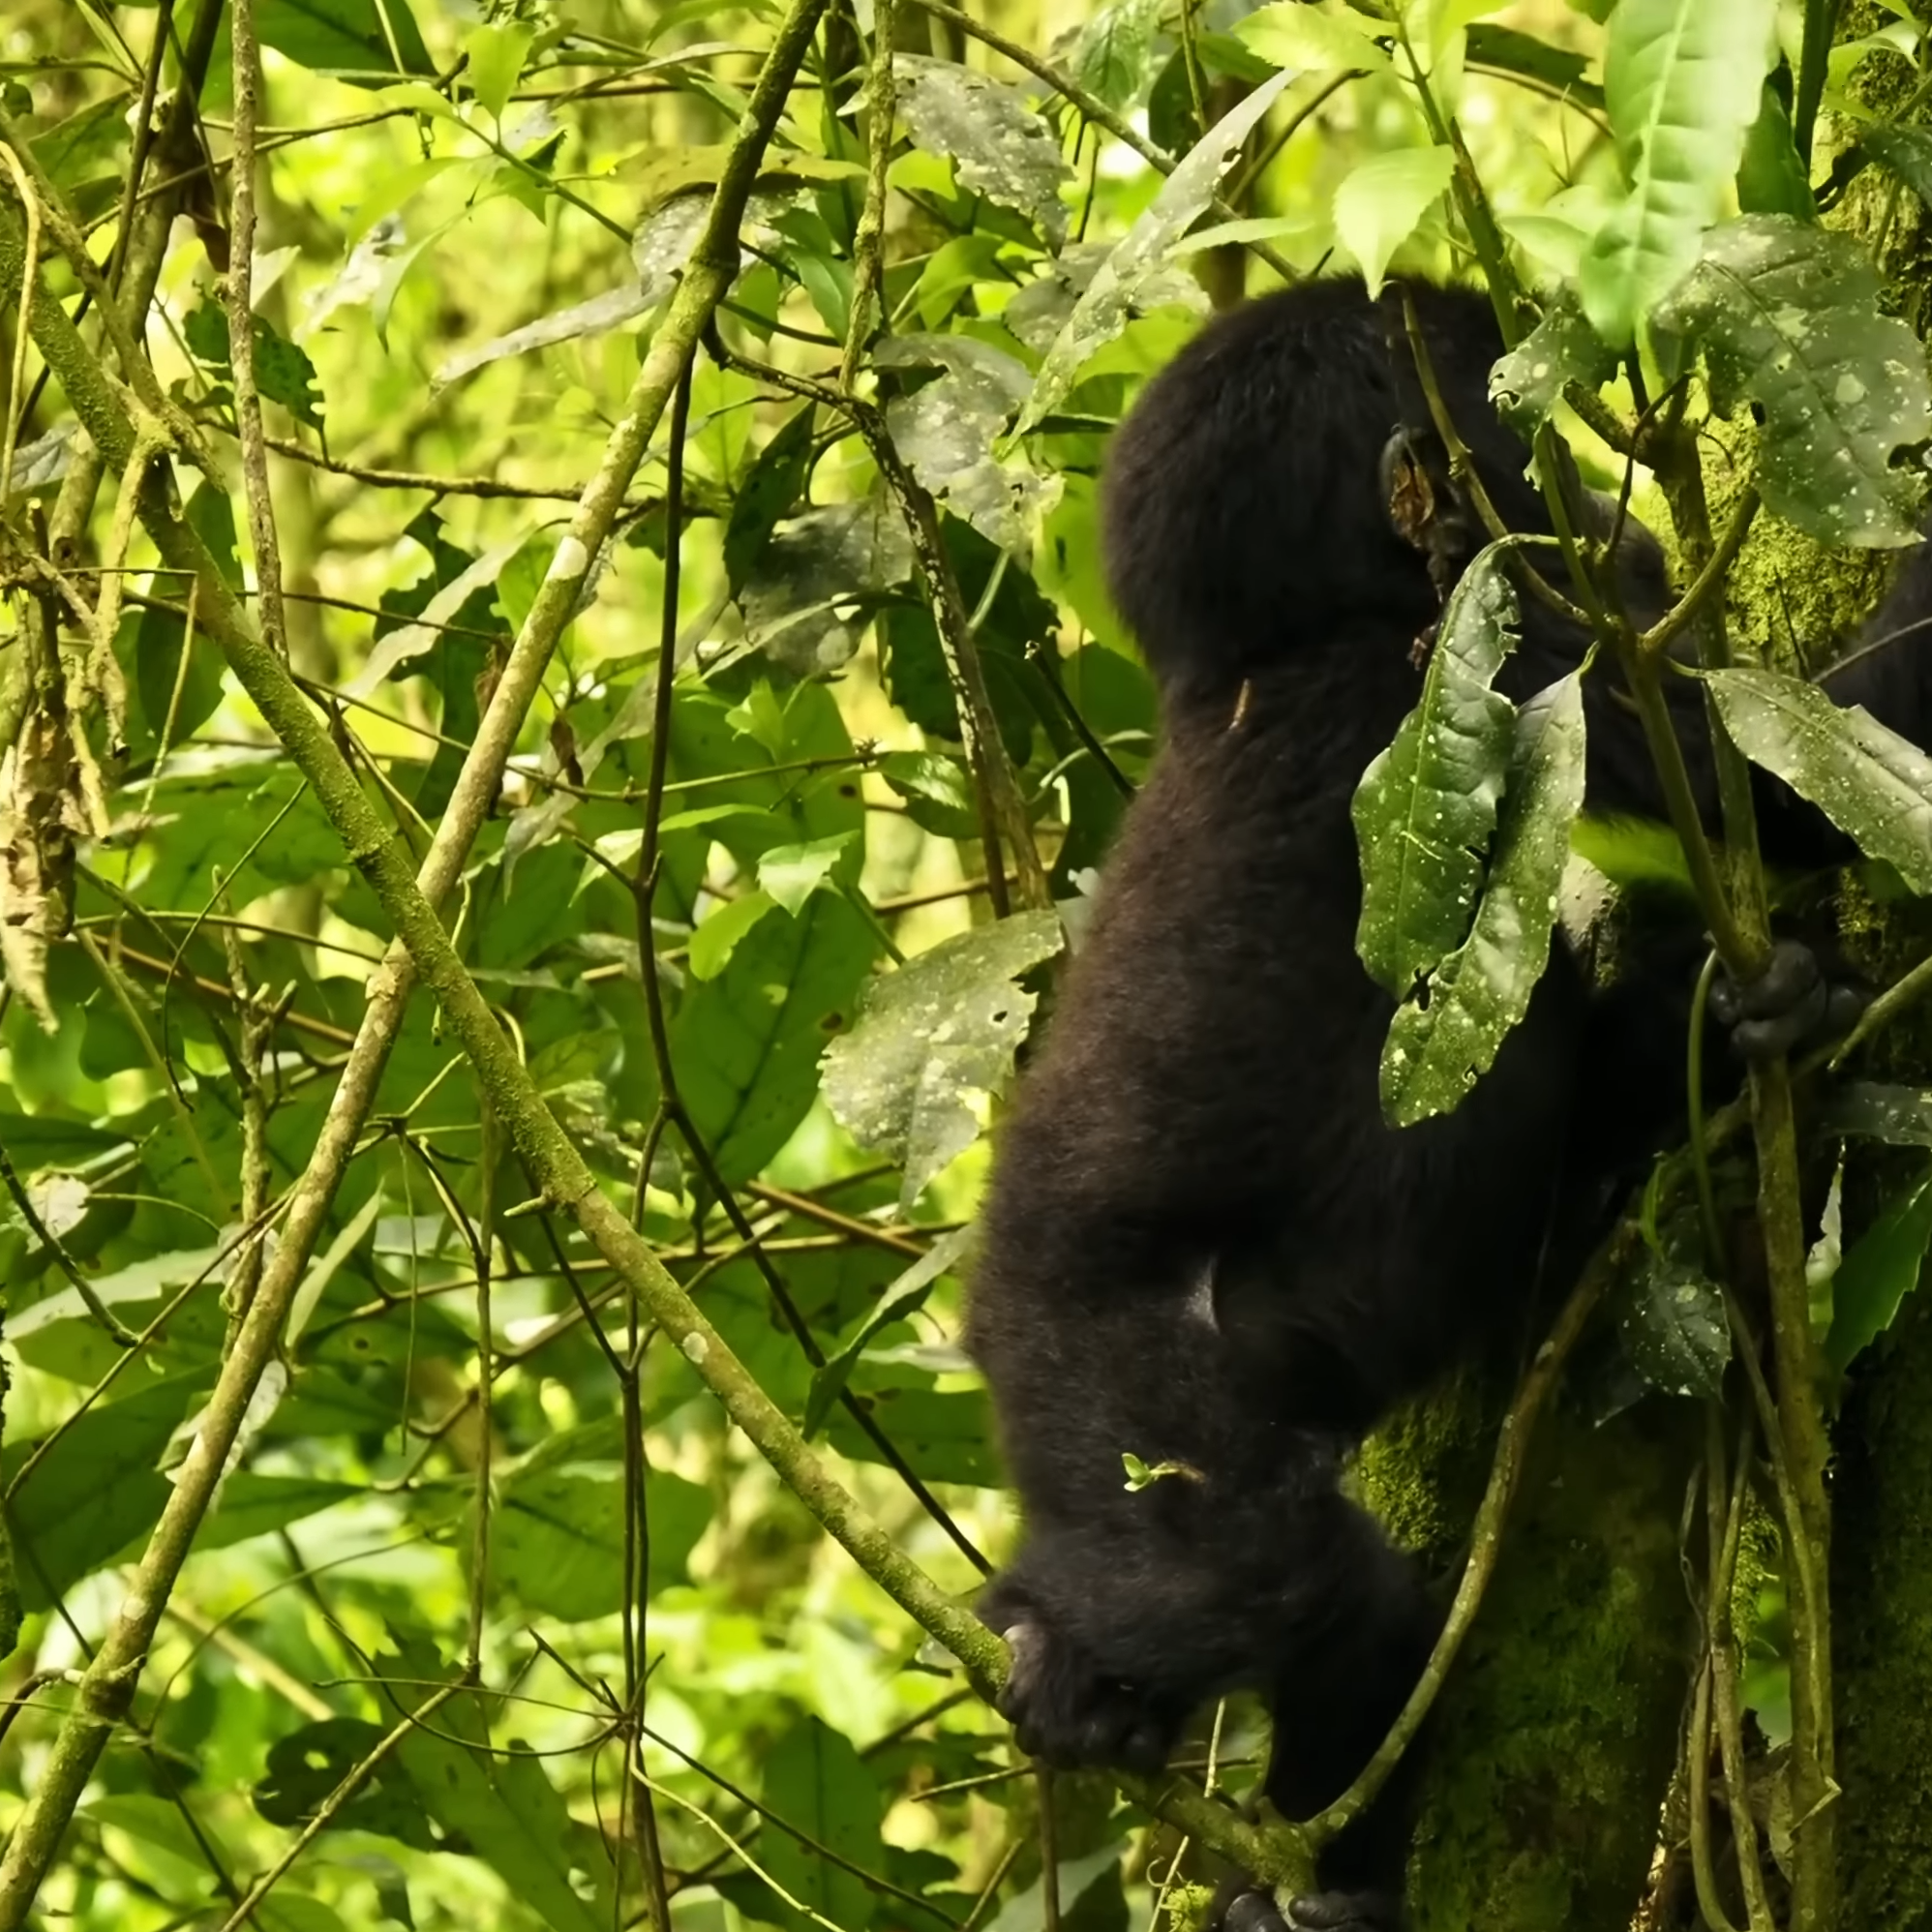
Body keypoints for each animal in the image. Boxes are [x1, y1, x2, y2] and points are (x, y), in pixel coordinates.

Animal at [973, 276, 1932, 1932]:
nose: (1615, 528)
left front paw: (1764, 1006)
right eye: (1520, 457)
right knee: (1295, 1584)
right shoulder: (1486, 673)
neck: (1277, 650)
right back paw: (1292, 1851)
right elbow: (1793, 774)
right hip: (1116, 1386)